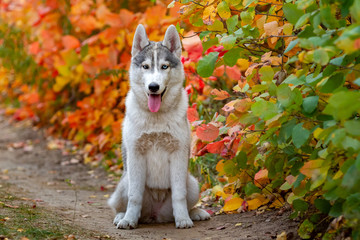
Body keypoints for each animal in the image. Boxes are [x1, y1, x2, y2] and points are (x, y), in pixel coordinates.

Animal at [108, 24, 212, 229]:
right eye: (145, 66)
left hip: (192, 183)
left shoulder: (178, 153)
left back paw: (196, 213)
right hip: (124, 182)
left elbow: (179, 195)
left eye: (164, 66)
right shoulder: (136, 154)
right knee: (120, 205)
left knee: (187, 201)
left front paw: (183, 219)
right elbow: (134, 197)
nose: (154, 86)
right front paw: (129, 220)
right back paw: (122, 217)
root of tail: (156, 215)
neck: (155, 119)